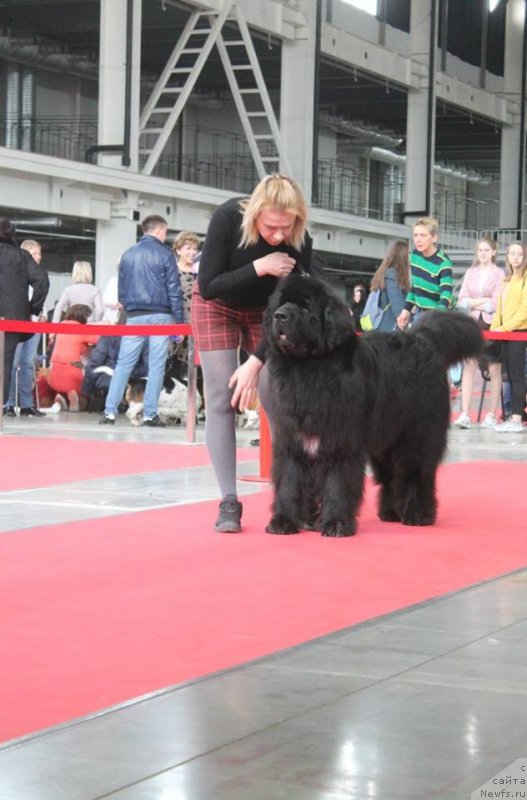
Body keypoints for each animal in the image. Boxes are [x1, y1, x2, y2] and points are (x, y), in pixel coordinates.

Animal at [266, 274, 484, 536]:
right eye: (281, 303)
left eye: (305, 306)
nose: (280, 316)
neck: (308, 367)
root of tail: (422, 339)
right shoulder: (291, 440)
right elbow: (289, 482)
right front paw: (284, 521)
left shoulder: (341, 440)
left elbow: (337, 482)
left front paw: (336, 523)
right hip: (386, 438)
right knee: (391, 475)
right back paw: (390, 512)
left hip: (417, 434)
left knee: (417, 473)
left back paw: (417, 514)